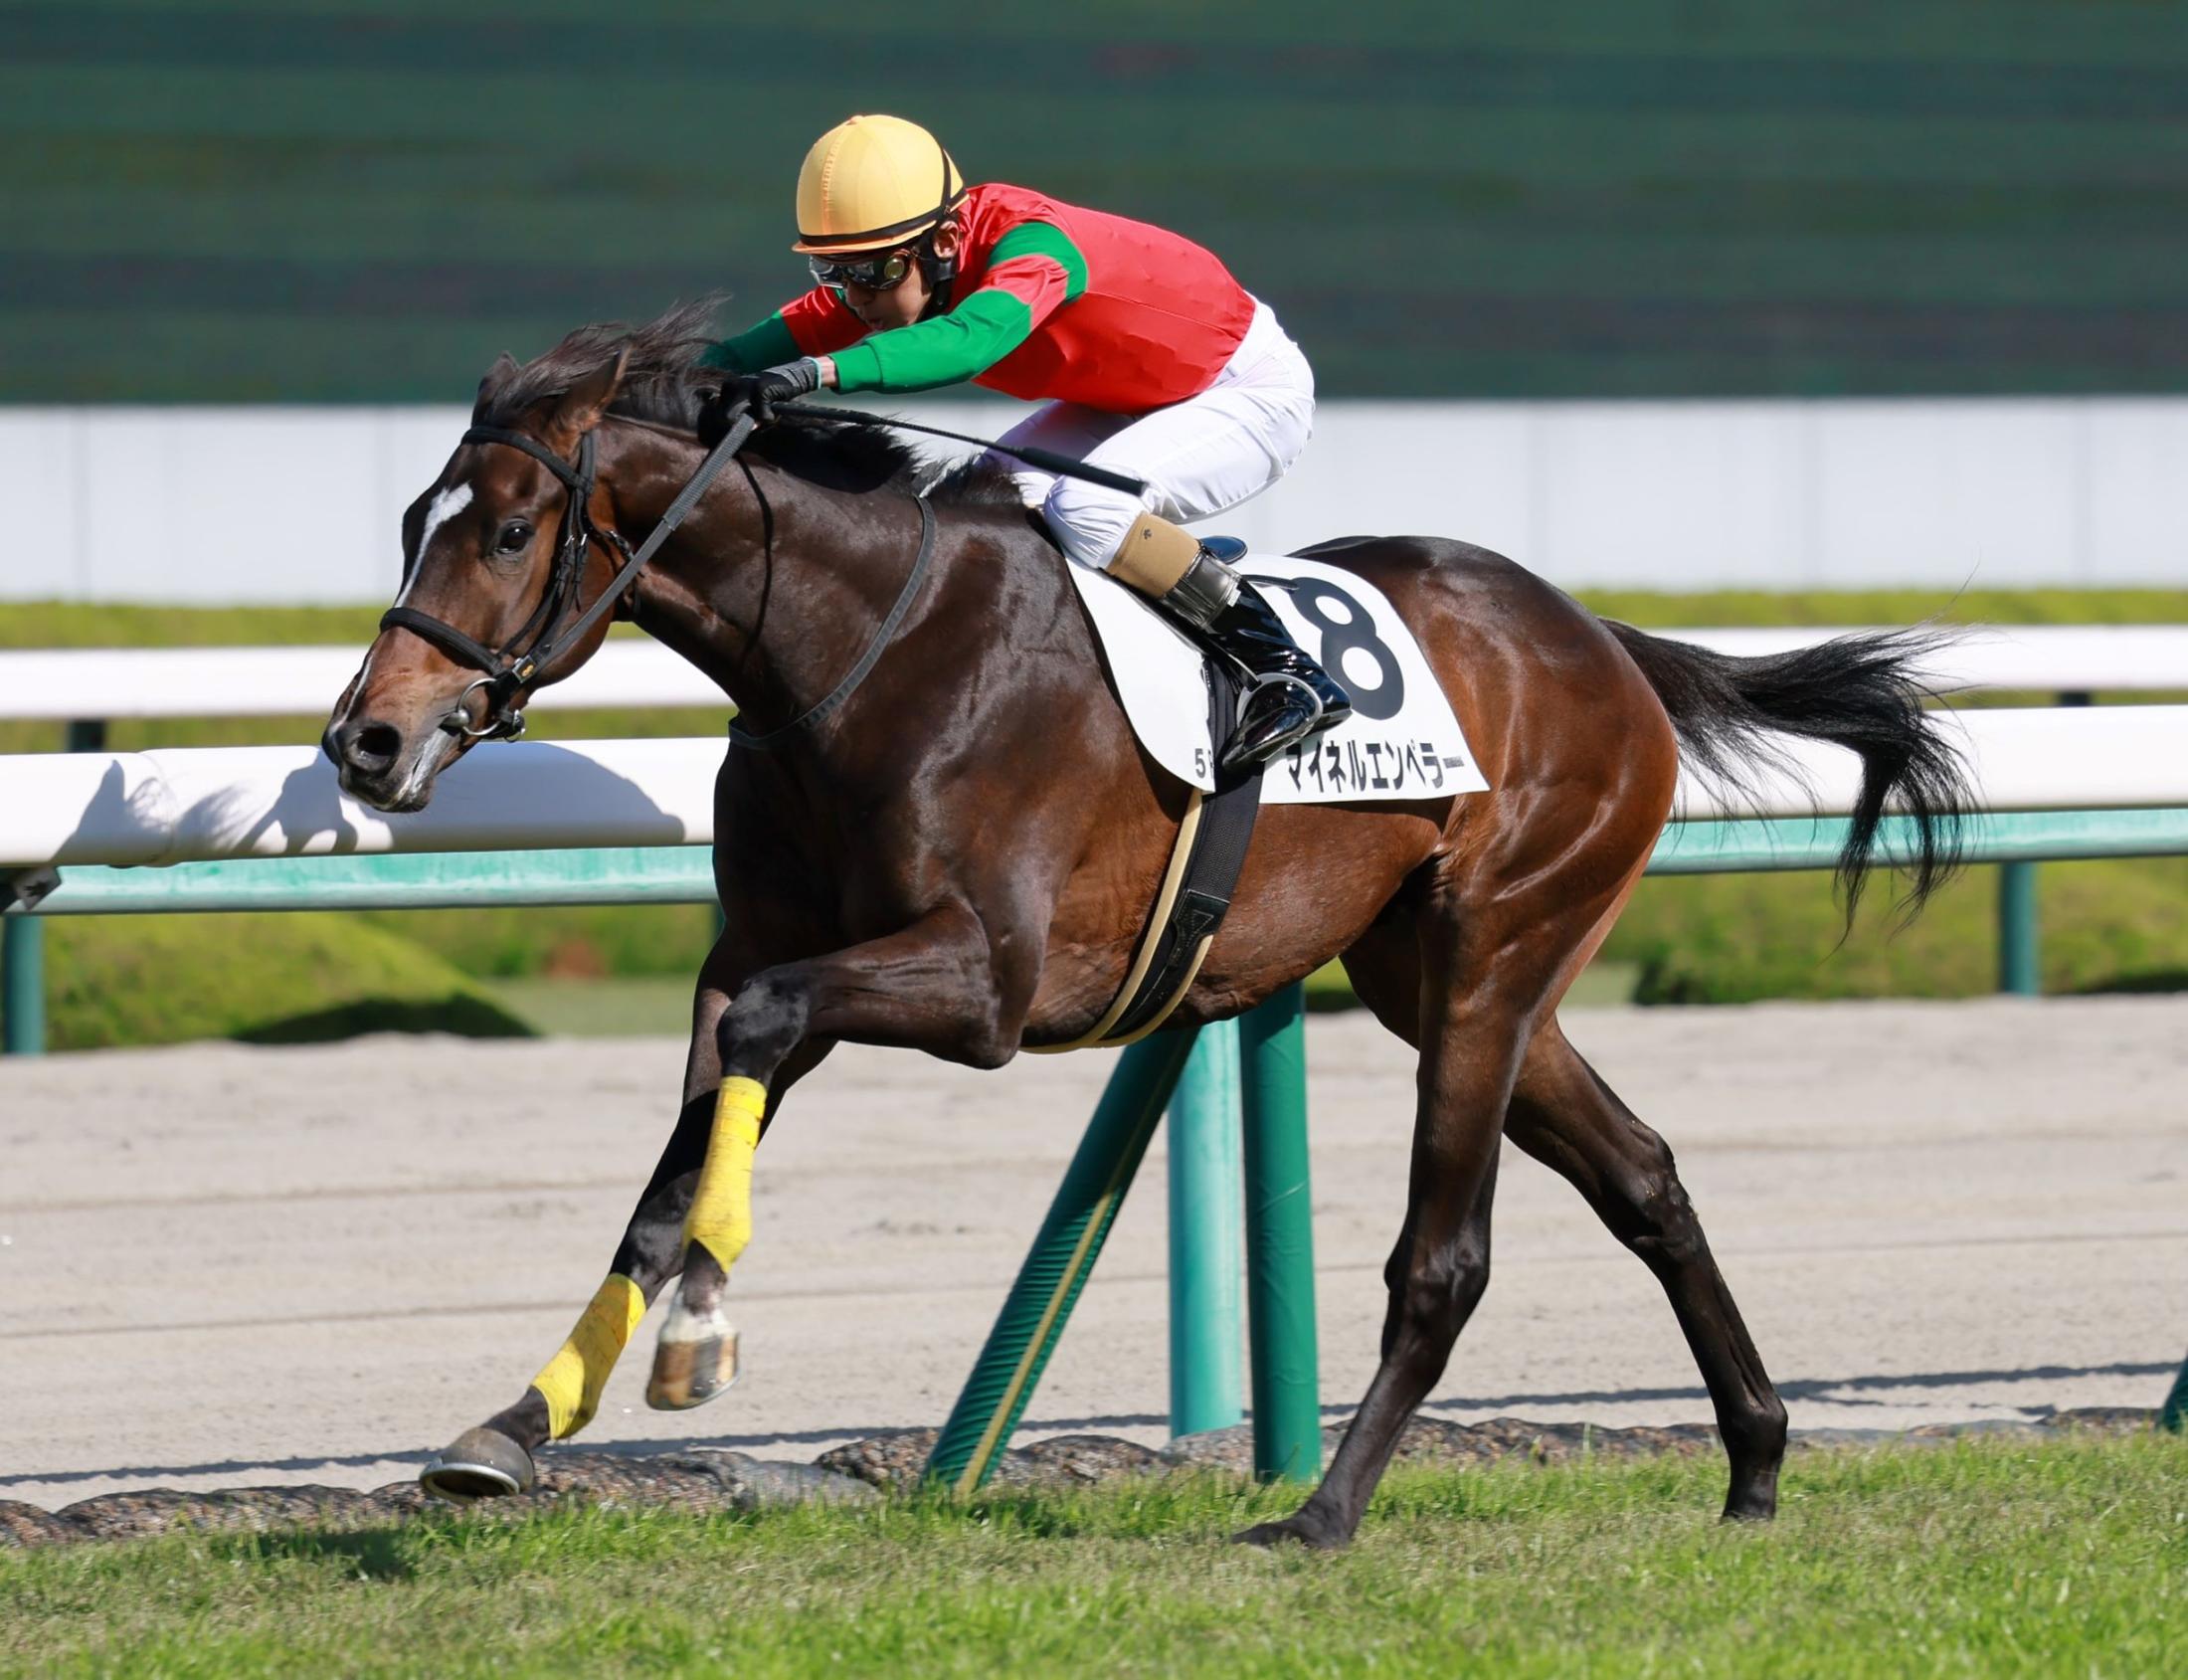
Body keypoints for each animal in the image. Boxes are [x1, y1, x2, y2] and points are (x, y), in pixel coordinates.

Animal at [323, 301, 1971, 1548]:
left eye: (513, 529)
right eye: (412, 522)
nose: (367, 741)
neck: (861, 646)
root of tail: (1598, 639)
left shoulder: (988, 985)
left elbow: (773, 1030)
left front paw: (700, 1335)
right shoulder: (748, 954)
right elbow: (679, 1153)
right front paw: (513, 1423)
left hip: (1498, 949)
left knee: (1448, 1254)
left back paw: (1322, 1514)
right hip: (1437, 971)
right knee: (1645, 1176)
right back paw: (1755, 1461)